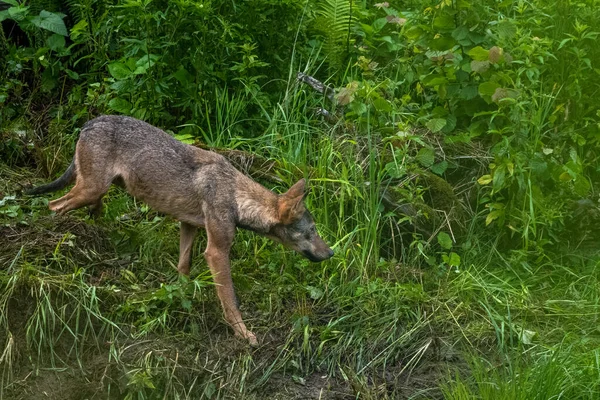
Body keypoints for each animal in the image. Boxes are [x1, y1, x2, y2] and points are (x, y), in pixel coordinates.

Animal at [27, 114, 332, 346]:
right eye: (312, 230)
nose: (330, 253)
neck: (236, 196)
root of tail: (90, 122)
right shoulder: (216, 251)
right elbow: (230, 300)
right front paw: (244, 335)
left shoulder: (189, 227)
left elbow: (183, 269)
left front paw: (180, 300)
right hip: (90, 190)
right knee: (53, 205)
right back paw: (59, 239)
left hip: (97, 192)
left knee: (78, 207)